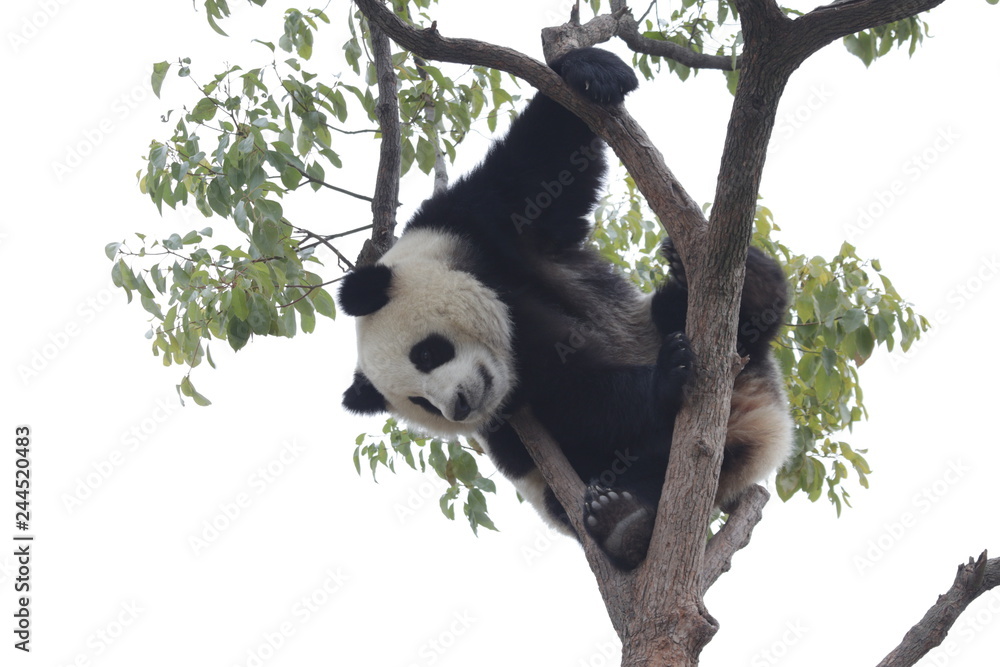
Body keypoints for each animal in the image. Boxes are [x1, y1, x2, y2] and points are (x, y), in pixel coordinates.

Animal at [338, 48, 792, 570]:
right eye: (420, 403)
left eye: (427, 354)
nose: (458, 406)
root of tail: (755, 430)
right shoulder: (514, 419)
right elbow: (582, 412)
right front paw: (663, 379)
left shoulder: (471, 224)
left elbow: (542, 166)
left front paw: (589, 70)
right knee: (633, 471)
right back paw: (624, 521)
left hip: (712, 351)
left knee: (708, 316)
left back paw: (751, 283)